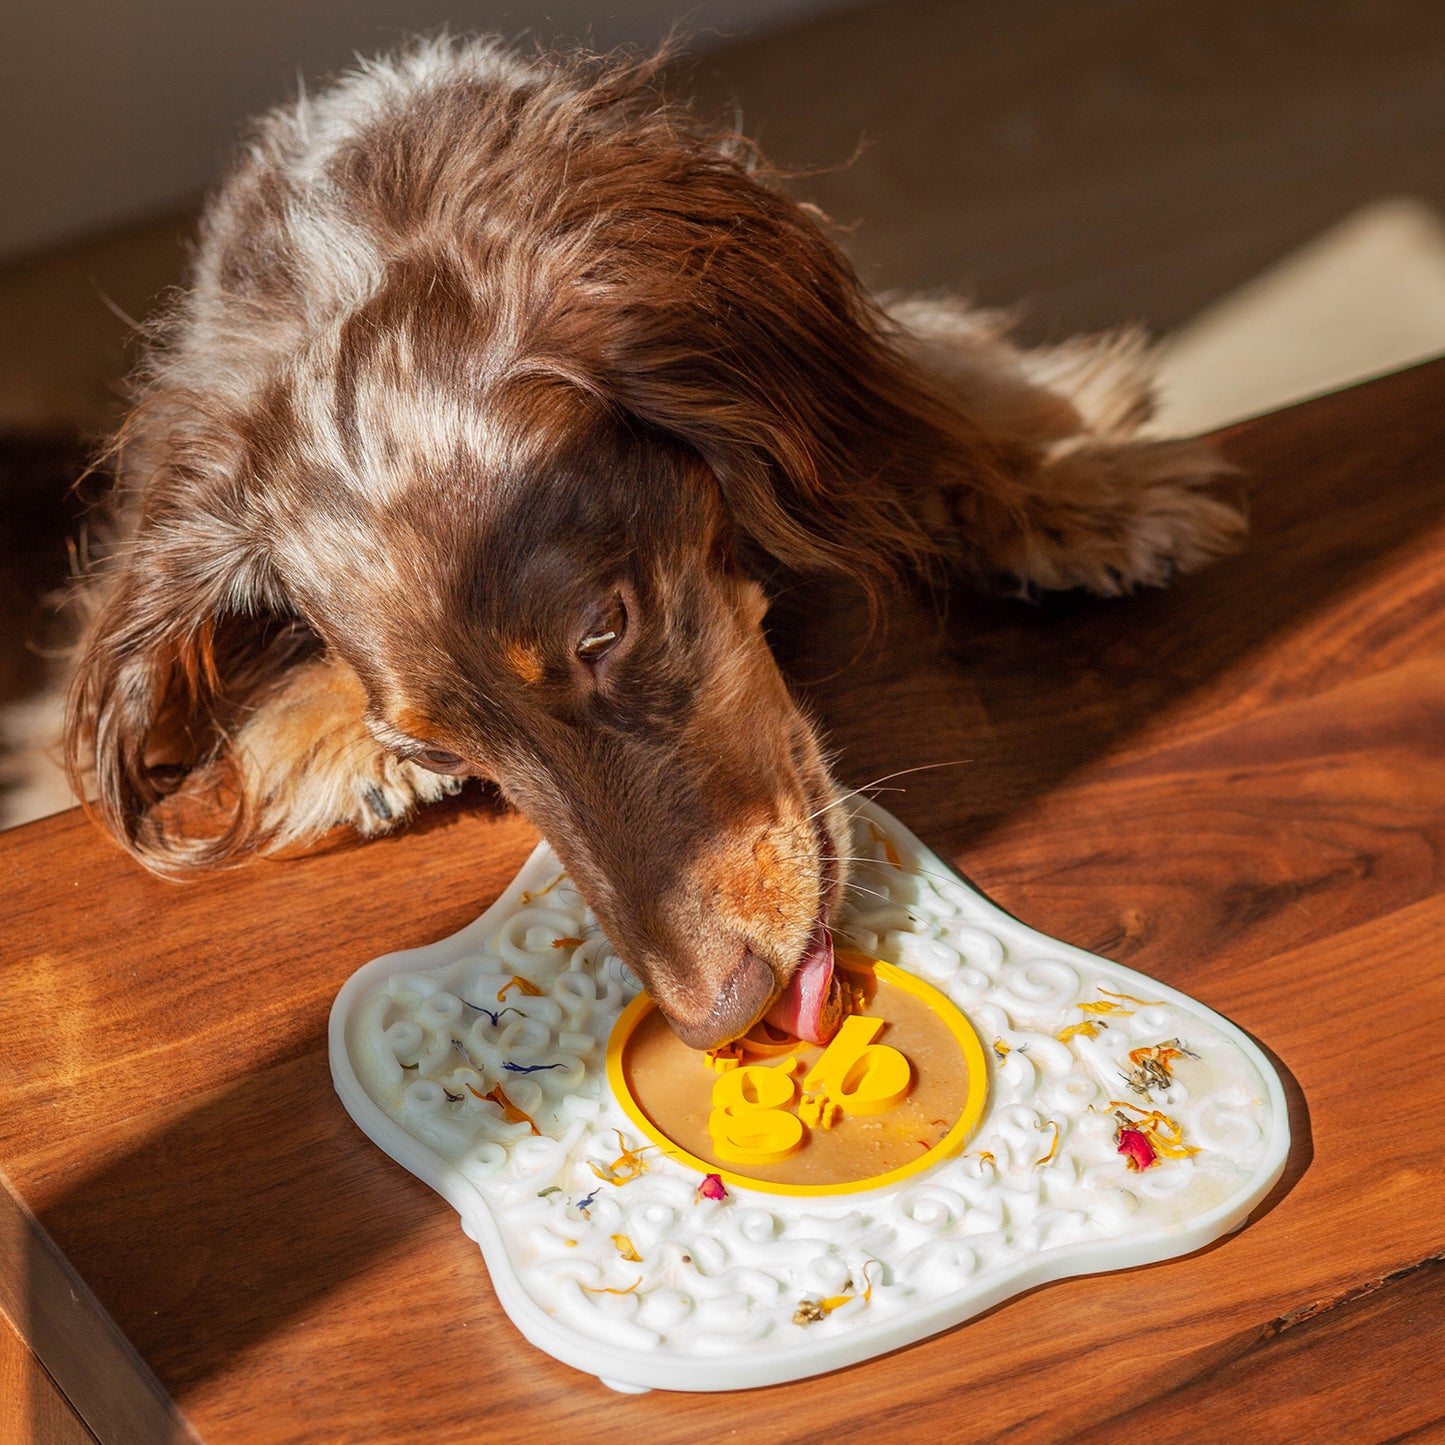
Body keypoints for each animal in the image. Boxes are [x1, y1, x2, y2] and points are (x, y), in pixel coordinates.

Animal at [62, 33, 1248, 1051]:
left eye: (602, 632)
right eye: (442, 752)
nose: (716, 1015)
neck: (356, 250)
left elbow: (927, 397)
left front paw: (1071, 485)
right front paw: (314, 731)